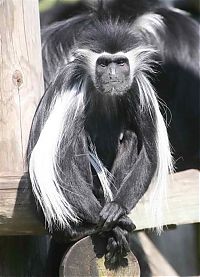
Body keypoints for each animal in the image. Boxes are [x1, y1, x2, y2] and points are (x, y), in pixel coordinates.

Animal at [28, 0, 200, 268]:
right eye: (103, 64)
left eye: (120, 64)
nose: (112, 74)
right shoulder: (73, 87)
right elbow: (57, 164)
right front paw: (110, 224)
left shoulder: (138, 87)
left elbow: (150, 153)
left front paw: (117, 212)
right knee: (72, 145)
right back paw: (83, 229)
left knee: (131, 137)